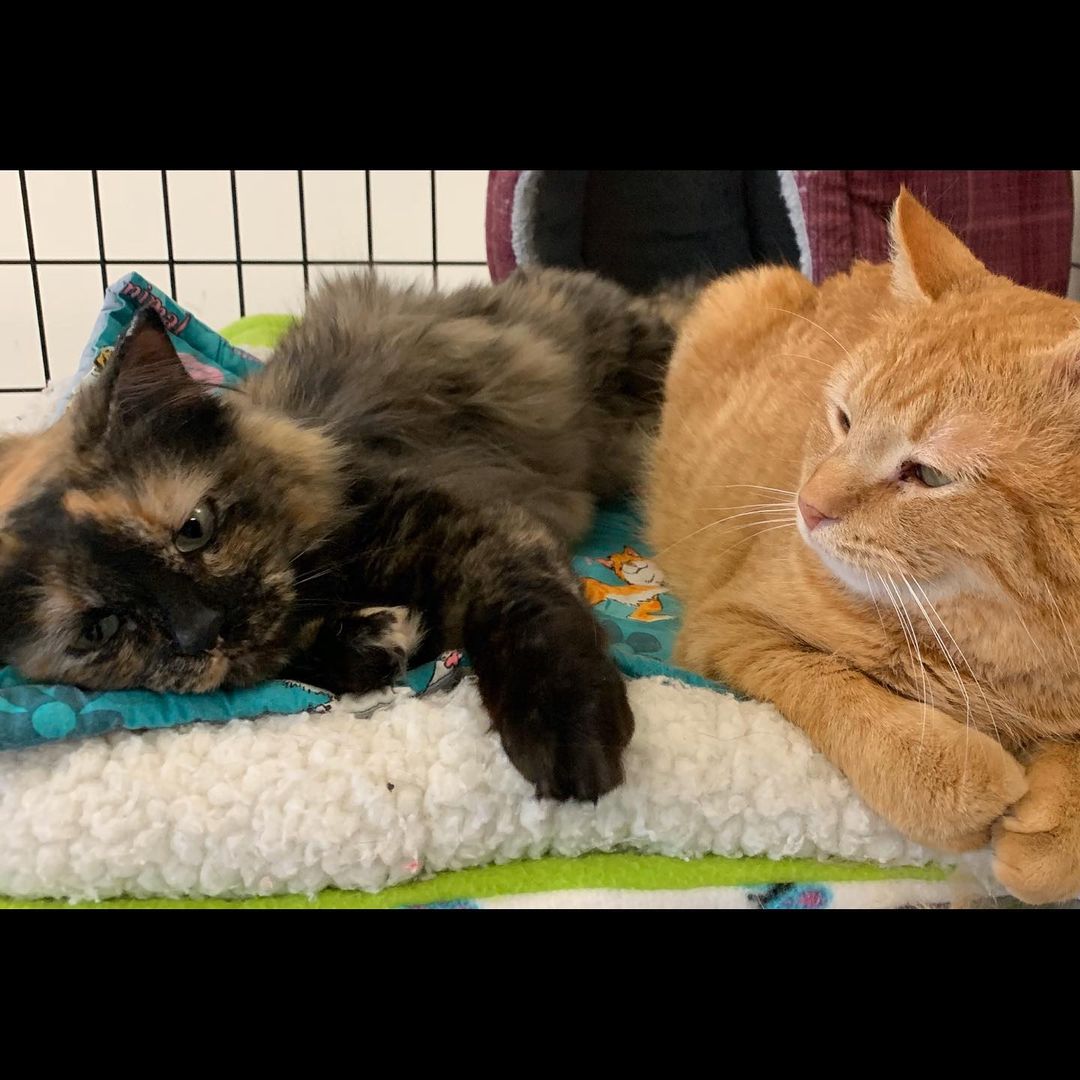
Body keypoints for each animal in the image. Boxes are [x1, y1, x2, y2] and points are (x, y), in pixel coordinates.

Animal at [0, 266, 691, 799]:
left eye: (194, 529)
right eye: (103, 629)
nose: (202, 628)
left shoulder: (480, 530)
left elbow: (531, 618)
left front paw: (570, 737)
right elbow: (301, 661)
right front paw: (375, 638)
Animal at [643, 187, 1080, 902]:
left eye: (928, 476)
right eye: (844, 420)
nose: (808, 504)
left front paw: (1058, 830)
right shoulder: (730, 626)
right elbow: (839, 690)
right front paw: (950, 778)